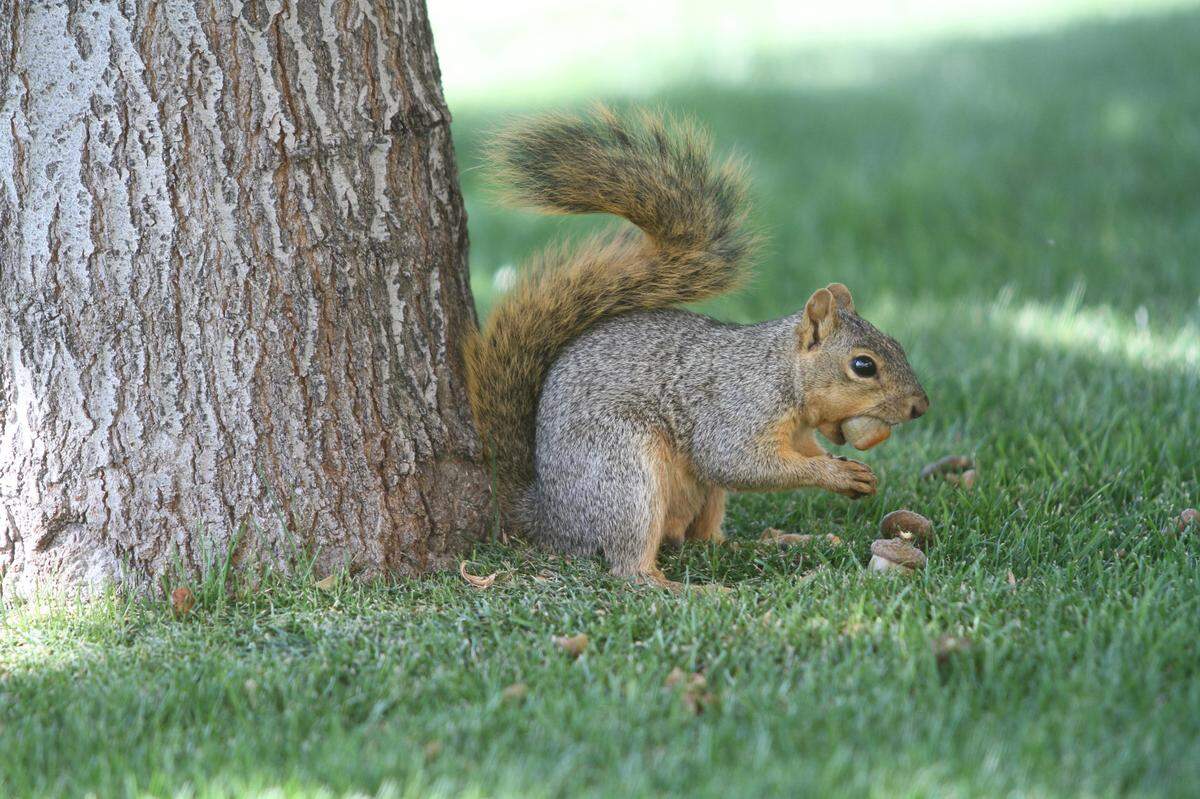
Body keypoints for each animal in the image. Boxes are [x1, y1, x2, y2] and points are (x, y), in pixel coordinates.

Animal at [464, 106, 929, 589]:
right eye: (863, 365)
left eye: (896, 343)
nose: (920, 406)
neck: (780, 374)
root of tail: (550, 519)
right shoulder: (734, 411)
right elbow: (739, 462)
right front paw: (834, 473)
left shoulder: (797, 433)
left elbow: (802, 452)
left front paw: (857, 474)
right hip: (623, 472)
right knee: (630, 568)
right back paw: (691, 590)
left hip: (701, 496)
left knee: (705, 540)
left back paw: (774, 542)